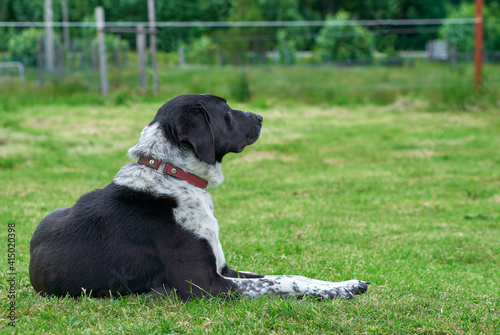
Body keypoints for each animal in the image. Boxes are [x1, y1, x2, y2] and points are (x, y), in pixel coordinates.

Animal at [30, 94, 368, 302]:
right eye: (227, 113)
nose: (260, 116)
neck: (174, 174)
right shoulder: (205, 285)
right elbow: (279, 282)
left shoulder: (223, 269)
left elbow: (289, 275)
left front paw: (344, 287)